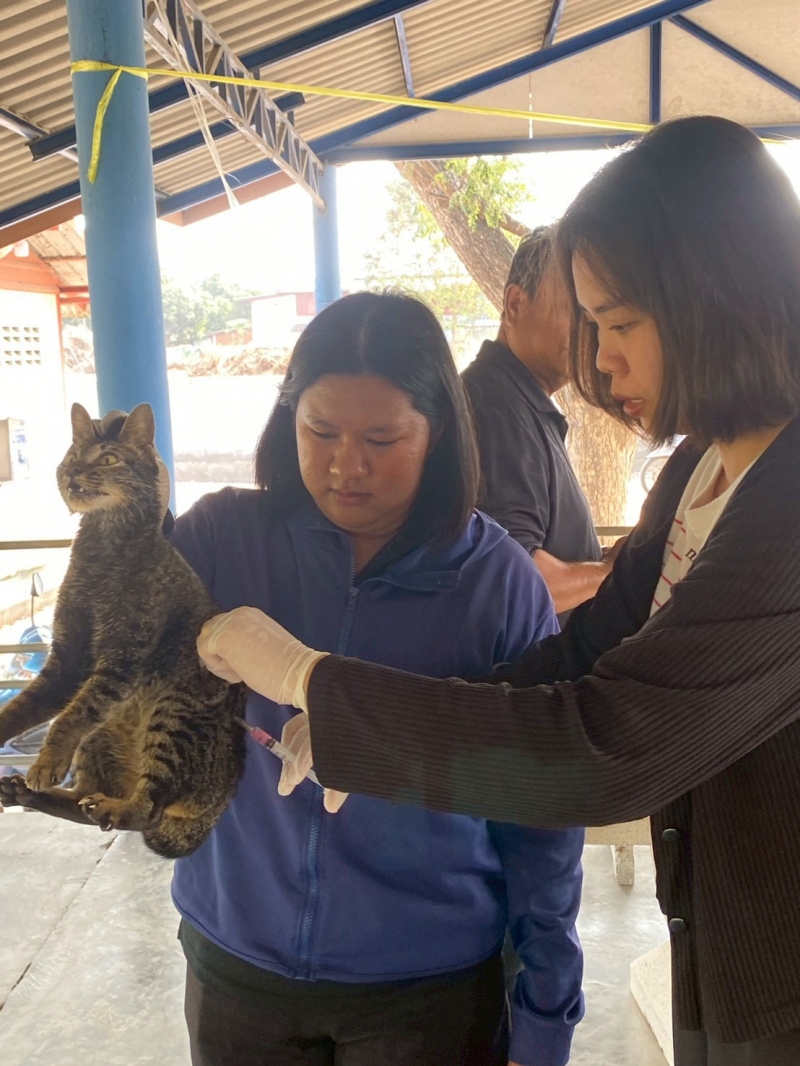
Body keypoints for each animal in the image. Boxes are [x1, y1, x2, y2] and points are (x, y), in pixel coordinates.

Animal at [0, 402, 246, 858]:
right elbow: (25, 707)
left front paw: (45, 761)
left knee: (146, 809)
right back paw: (33, 794)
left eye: (109, 460)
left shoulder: (120, 661)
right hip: (99, 737)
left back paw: (113, 807)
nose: (73, 474)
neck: (101, 545)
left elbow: (69, 716)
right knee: (84, 798)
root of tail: (215, 806)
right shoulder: (66, 661)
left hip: (172, 714)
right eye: (71, 457)